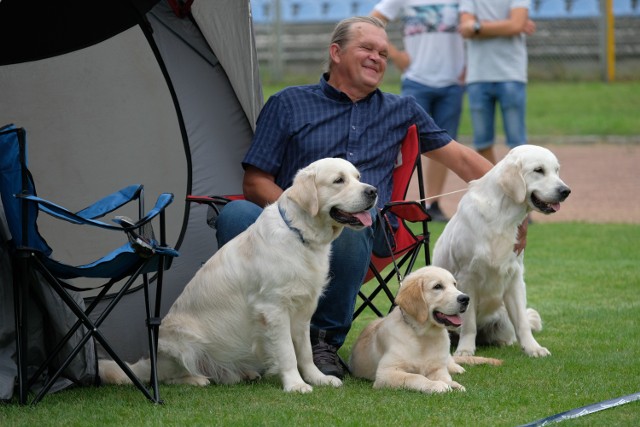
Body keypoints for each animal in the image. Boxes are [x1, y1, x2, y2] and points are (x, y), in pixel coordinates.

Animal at [100, 158, 378, 394]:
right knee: (164, 377)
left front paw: (317, 378)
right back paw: (196, 379)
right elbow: (287, 351)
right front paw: (295, 384)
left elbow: (305, 350)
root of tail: (148, 360)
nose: (373, 191)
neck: (300, 234)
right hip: (183, 345)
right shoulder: (274, 309)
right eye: (338, 180)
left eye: (357, 177)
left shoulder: (302, 310)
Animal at [348, 268, 502, 394]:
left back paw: (457, 368)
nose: (466, 298)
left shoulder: (437, 368)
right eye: (437, 286)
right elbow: (415, 377)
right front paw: (436, 385)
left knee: (450, 361)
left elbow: (444, 376)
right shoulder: (386, 372)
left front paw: (453, 384)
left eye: (454, 284)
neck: (424, 336)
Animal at [432, 145, 572, 360]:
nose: (565, 191)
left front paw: (533, 348)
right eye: (539, 170)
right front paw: (465, 350)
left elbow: (522, 322)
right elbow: (469, 323)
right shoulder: (467, 278)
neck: (502, 216)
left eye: (556, 170)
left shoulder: (514, 277)